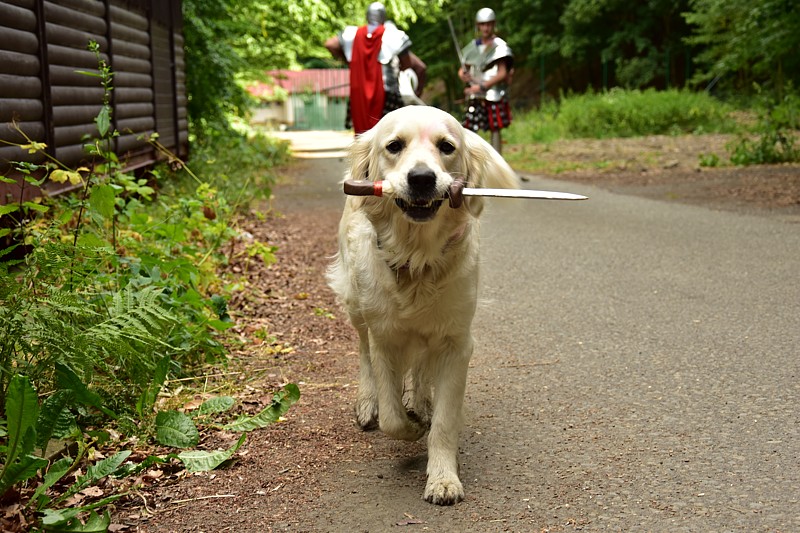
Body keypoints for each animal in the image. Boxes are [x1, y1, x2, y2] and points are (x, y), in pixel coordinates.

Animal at [324, 105, 520, 502]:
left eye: (447, 147)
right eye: (394, 146)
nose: (421, 179)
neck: (417, 260)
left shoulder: (457, 341)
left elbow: (445, 420)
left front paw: (443, 477)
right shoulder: (385, 336)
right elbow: (391, 416)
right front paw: (408, 427)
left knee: (423, 369)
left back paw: (422, 402)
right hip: (356, 306)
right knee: (364, 355)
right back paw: (368, 402)